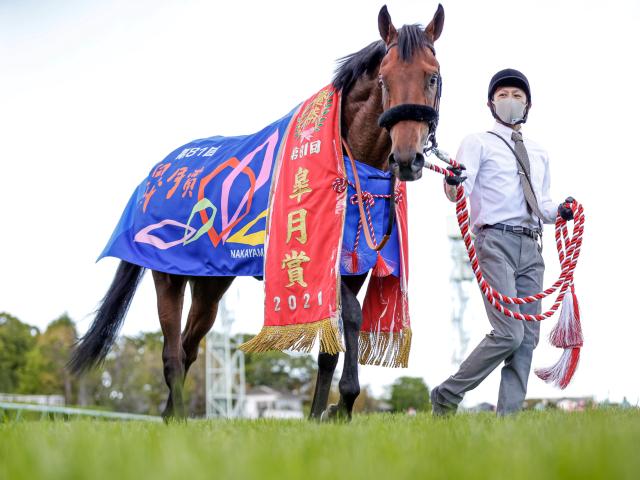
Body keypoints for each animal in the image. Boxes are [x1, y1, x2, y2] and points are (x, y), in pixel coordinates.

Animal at [67, 4, 442, 420]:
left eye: (432, 76)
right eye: (384, 79)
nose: (407, 158)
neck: (345, 162)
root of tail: (154, 176)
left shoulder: (354, 262)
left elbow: (329, 346)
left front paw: (318, 413)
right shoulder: (323, 260)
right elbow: (352, 317)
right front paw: (342, 402)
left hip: (210, 283)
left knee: (188, 346)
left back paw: (170, 415)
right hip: (168, 274)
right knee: (171, 353)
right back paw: (176, 415)